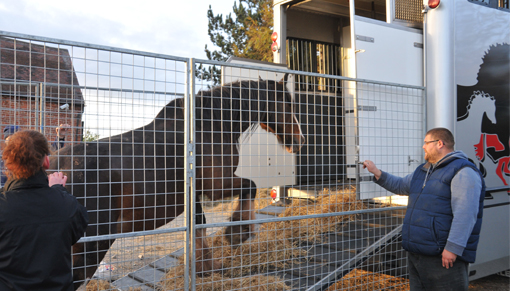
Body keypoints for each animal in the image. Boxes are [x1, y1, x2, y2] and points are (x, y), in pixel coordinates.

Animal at [48, 77, 302, 290]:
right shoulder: (217, 186)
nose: (299, 140)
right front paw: (237, 232)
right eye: (288, 105)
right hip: (94, 243)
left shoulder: (194, 193)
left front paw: (205, 268)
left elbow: (199, 224)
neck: (209, 127)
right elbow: (250, 186)